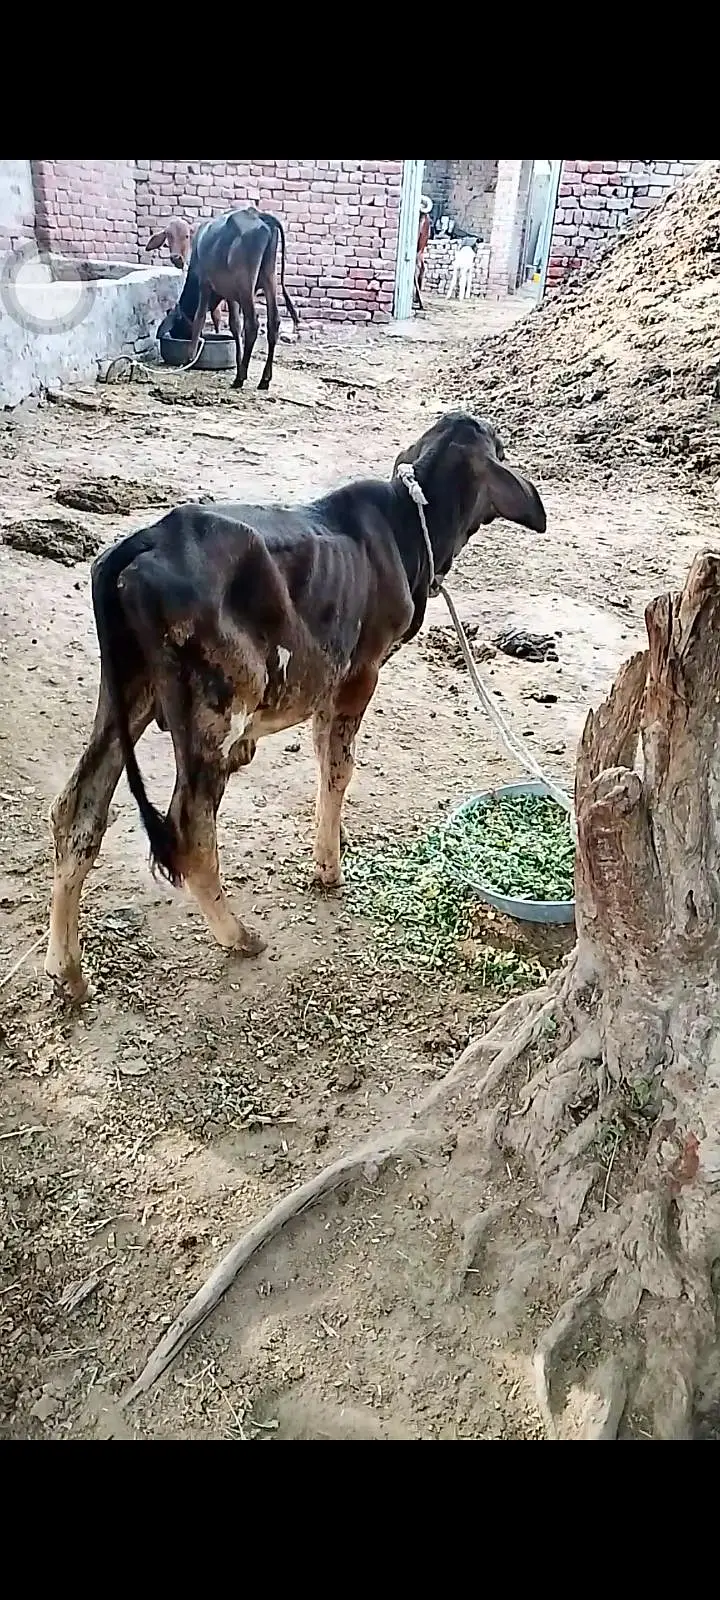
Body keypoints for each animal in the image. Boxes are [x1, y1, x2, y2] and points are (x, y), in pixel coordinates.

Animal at [44, 412, 546, 1001]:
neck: (408, 524)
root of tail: (147, 540)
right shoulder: (360, 673)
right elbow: (338, 767)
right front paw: (328, 866)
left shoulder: (327, 683)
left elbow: (323, 755)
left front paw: (337, 840)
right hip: (215, 708)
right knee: (189, 827)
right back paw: (237, 936)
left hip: (128, 691)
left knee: (79, 809)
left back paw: (67, 971)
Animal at [155, 208, 300, 391]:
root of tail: (260, 215)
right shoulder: (232, 295)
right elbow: (235, 326)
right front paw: (238, 361)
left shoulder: (205, 283)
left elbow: (200, 317)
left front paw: (190, 358)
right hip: (270, 280)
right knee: (273, 323)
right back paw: (264, 379)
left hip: (245, 284)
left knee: (252, 324)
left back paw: (240, 378)